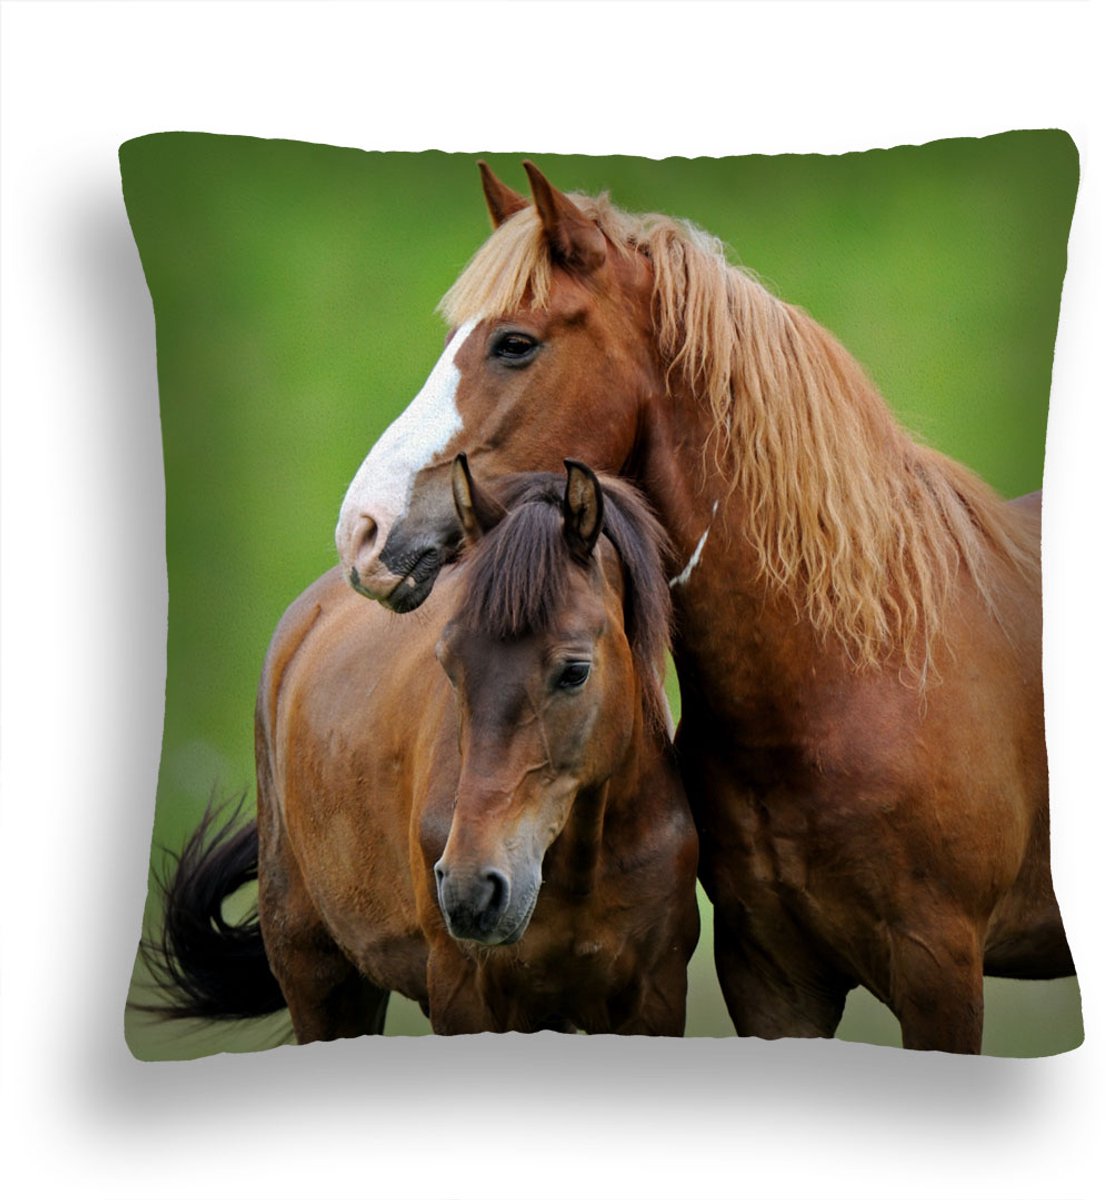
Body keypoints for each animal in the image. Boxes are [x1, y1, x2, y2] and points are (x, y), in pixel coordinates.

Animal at [142, 458, 700, 1038]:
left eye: (574, 671)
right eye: (450, 664)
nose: (472, 888)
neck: (583, 866)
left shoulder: (653, 997)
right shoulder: (464, 995)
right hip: (320, 979)